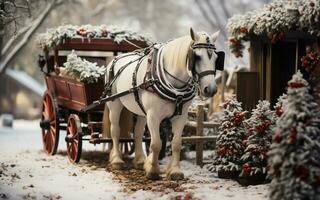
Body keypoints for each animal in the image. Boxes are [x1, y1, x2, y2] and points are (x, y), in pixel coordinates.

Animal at [104, 28, 221, 181]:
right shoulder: (153, 116)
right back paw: (117, 160)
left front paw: (175, 171)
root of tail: (114, 60)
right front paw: (153, 170)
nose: (210, 89)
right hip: (115, 104)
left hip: (141, 111)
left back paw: (140, 161)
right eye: (197, 56)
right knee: (115, 130)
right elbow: (156, 144)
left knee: (138, 133)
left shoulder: (180, 117)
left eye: (216, 58)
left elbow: (176, 143)